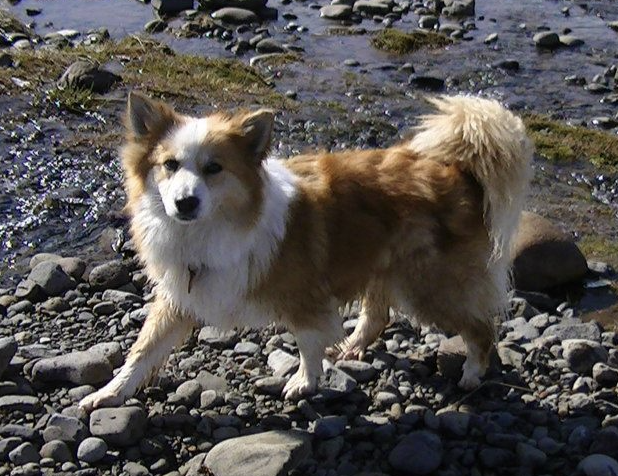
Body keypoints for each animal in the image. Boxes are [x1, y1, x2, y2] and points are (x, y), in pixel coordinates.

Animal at [76, 91, 528, 410]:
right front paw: (110, 393)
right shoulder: (180, 294)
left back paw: (472, 373)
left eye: (214, 168)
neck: (215, 226)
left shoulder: (305, 296)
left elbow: (308, 343)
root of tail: (457, 170)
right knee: (378, 314)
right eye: (169, 165)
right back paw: (353, 346)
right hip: (383, 266)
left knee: (482, 328)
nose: (185, 203)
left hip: (427, 286)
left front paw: (304, 382)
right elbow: (143, 350)